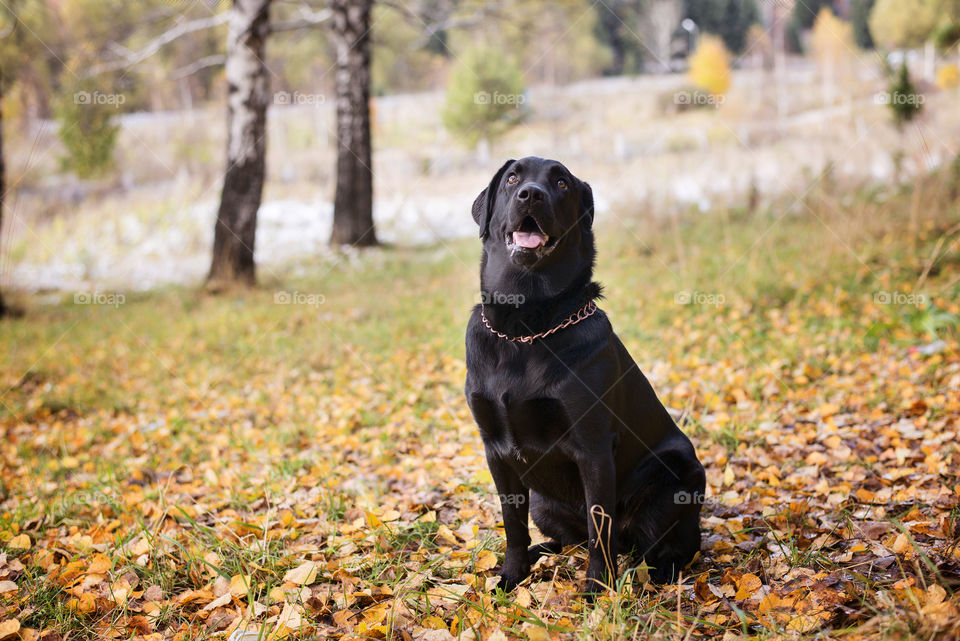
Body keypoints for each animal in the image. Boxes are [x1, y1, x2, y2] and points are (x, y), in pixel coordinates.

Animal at [464, 158, 704, 592]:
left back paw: (664, 570)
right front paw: (512, 576)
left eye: (561, 183)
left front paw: (597, 588)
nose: (531, 194)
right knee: (566, 538)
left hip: (681, 476)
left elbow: (599, 528)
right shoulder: (495, 451)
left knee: (671, 545)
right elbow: (512, 526)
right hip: (543, 503)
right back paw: (541, 553)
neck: (525, 327)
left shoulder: (593, 448)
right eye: (512, 178)